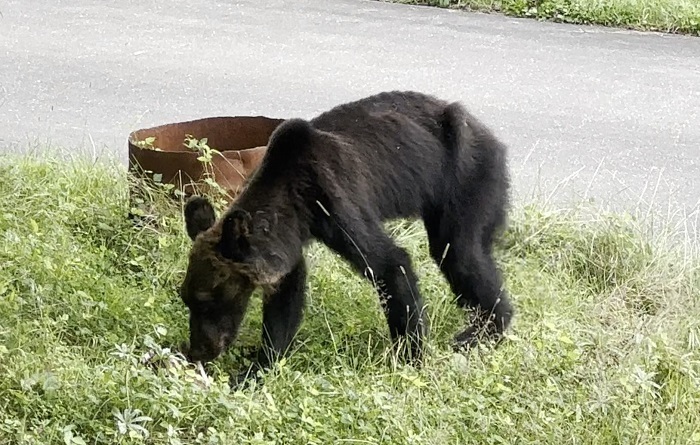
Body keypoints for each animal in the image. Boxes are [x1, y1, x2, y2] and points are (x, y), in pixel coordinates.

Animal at [180, 90, 516, 382]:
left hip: (468, 178)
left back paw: (479, 332)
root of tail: (488, 132)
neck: (294, 199)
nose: (198, 350)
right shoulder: (288, 239)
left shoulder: (335, 201)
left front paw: (409, 356)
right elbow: (286, 297)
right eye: (186, 298)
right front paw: (258, 367)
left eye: (207, 300)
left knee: (461, 254)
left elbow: (389, 263)